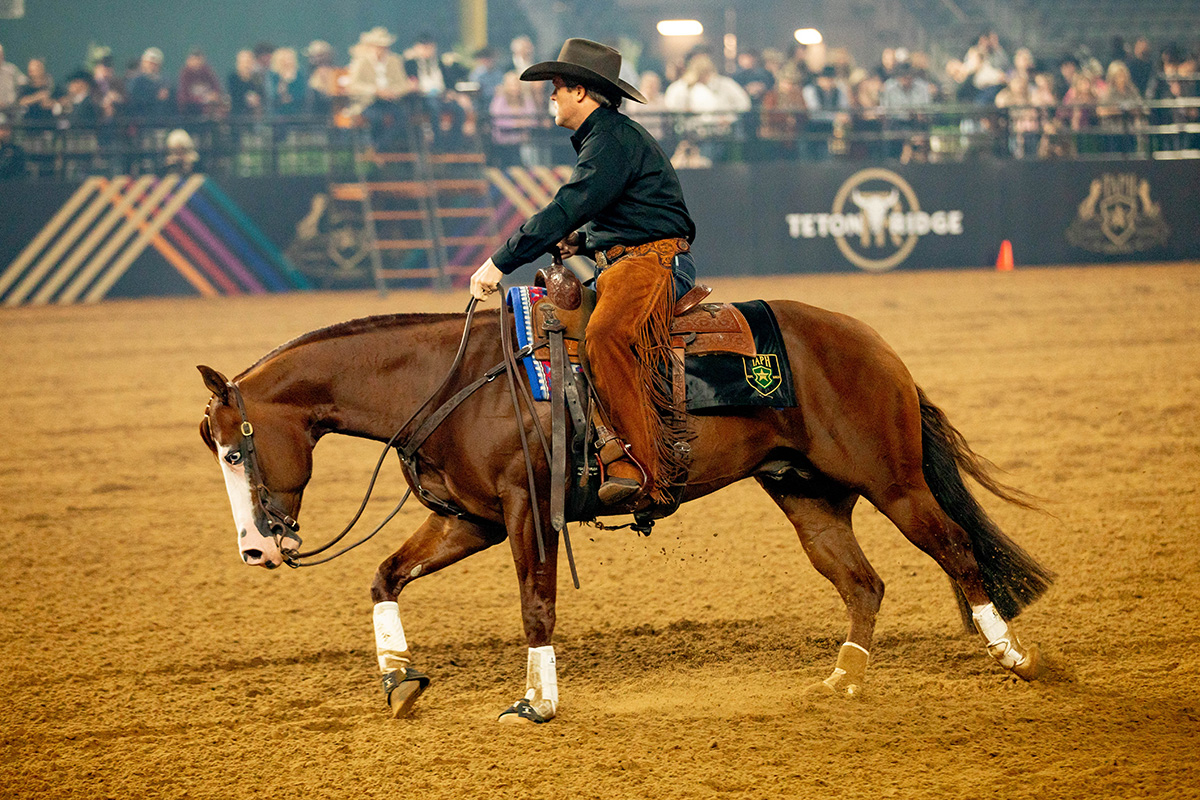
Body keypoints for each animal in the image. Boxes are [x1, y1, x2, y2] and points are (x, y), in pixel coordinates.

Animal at [201, 299, 1056, 724]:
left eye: (235, 450)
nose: (255, 550)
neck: (452, 379)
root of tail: (874, 343)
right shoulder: (470, 518)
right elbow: (385, 576)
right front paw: (399, 680)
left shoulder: (525, 511)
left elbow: (536, 605)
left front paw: (538, 702)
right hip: (807, 493)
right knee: (863, 583)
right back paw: (845, 680)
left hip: (893, 480)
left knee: (956, 549)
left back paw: (1015, 658)